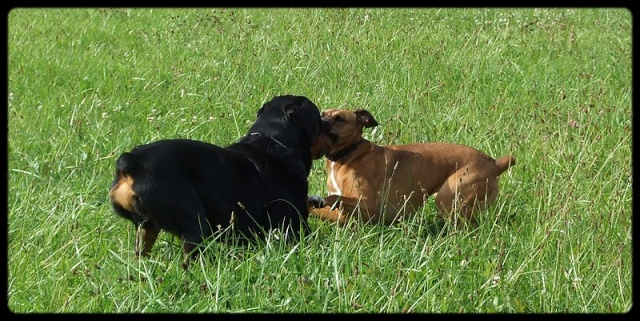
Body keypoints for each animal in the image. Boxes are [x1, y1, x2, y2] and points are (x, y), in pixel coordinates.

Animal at [108, 95, 328, 268]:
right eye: (318, 117)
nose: (328, 119)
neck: (275, 141)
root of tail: (131, 162)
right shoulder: (294, 227)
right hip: (193, 223)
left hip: (146, 227)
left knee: (141, 253)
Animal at [308, 109, 516, 224]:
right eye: (322, 113)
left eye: (339, 119)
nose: (319, 119)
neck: (347, 155)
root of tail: (494, 163)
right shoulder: (344, 216)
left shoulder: (367, 204)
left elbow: (334, 196)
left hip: (449, 198)